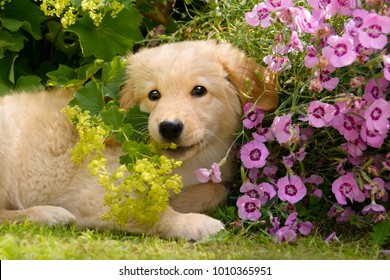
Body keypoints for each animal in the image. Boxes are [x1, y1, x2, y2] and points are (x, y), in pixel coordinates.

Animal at [0, 40, 278, 241]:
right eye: (154, 95)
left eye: (199, 90)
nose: (169, 127)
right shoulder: (99, 193)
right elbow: (152, 213)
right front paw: (195, 223)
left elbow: (217, 189)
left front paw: (180, 200)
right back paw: (48, 215)